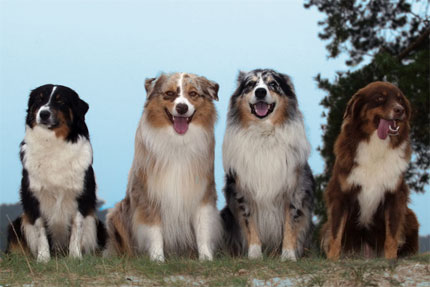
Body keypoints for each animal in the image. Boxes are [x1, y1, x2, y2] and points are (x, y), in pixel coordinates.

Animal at [6, 84, 106, 262]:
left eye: (61, 101)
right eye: (39, 99)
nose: (44, 113)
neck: (52, 142)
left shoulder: (81, 194)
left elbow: (77, 227)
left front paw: (75, 257)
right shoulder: (33, 196)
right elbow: (40, 230)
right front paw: (43, 258)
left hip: (98, 224)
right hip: (16, 224)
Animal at [105, 72, 222, 260]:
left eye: (193, 93)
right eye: (169, 93)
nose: (182, 108)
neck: (177, 141)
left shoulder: (202, 192)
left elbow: (203, 228)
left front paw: (206, 258)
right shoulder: (149, 193)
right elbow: (154, 230)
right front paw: (157, 259)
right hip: (116, 213)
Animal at [220, 69, 314, 260]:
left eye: (273, 84)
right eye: (251, 84)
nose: (261, 92)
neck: (263, 133)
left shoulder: (294, 190)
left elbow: (290, 224)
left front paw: (288, 255)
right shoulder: (243, 190)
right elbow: (250, 223)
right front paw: (255, 254)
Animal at [322, 81, 420, 260]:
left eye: (400, 100)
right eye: (379, 98)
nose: (400, 110)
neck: (376, 145)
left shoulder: (394, 196)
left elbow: (391, 236)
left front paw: (390, 259)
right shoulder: (340, 194)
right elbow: (336, 235)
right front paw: (332, 259)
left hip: (410, 216)